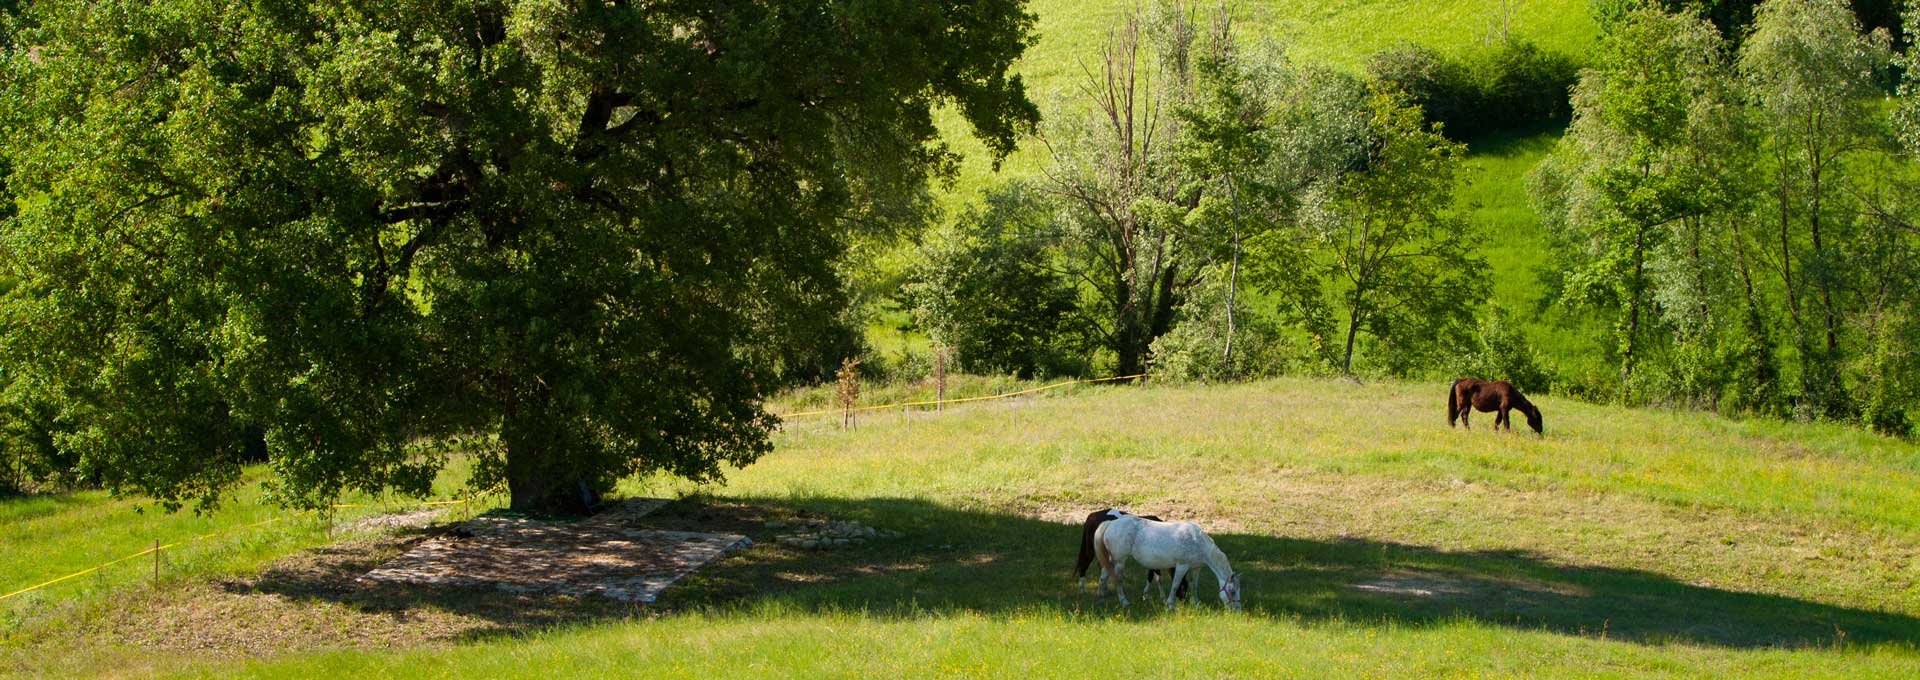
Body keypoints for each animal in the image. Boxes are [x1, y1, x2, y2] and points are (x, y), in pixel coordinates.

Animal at [1098, 514, 1244, 610]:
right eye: (1232, 591)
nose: (1237, 610)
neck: (1197, 542)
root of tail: (1110, 524)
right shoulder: (1182, 566)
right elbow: (1175, 585)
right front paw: (1170, 605)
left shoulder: (1196, 568)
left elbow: (1194, 585)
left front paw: (1196, 604)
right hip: (1119, 561)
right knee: (1118, 580)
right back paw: (1124, 602)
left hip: (1111, 561)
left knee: (1103, 577)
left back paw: (1101, 598)